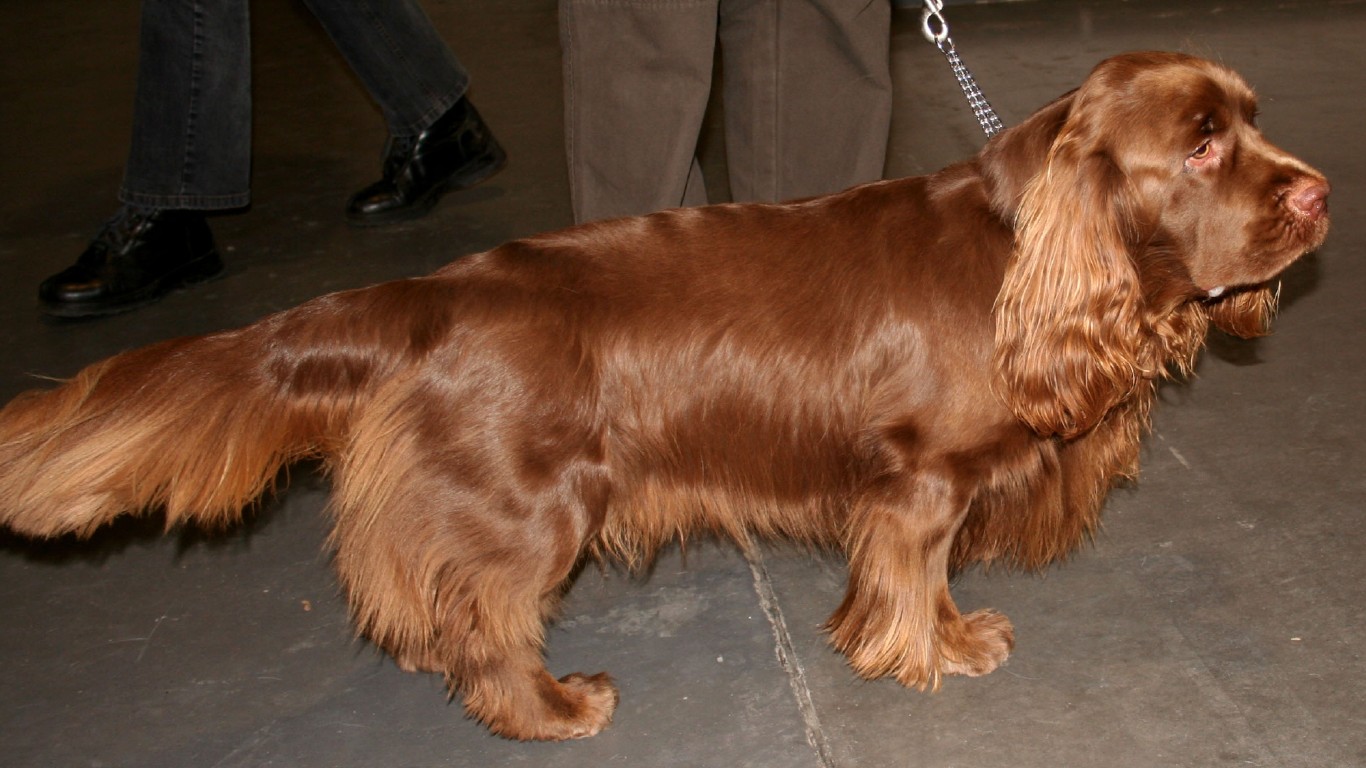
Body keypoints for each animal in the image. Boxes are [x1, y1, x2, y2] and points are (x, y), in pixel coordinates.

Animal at [0, 52, 1327, 737]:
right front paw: (930, 654)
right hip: (529, 507)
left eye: (1251, 122)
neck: (1023, 251)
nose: (1318, 196)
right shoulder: (918, 484)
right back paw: (552, 708)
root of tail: (428, 294)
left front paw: (947, 641)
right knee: (485, 616)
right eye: (1199, 144)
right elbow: (914, 578)